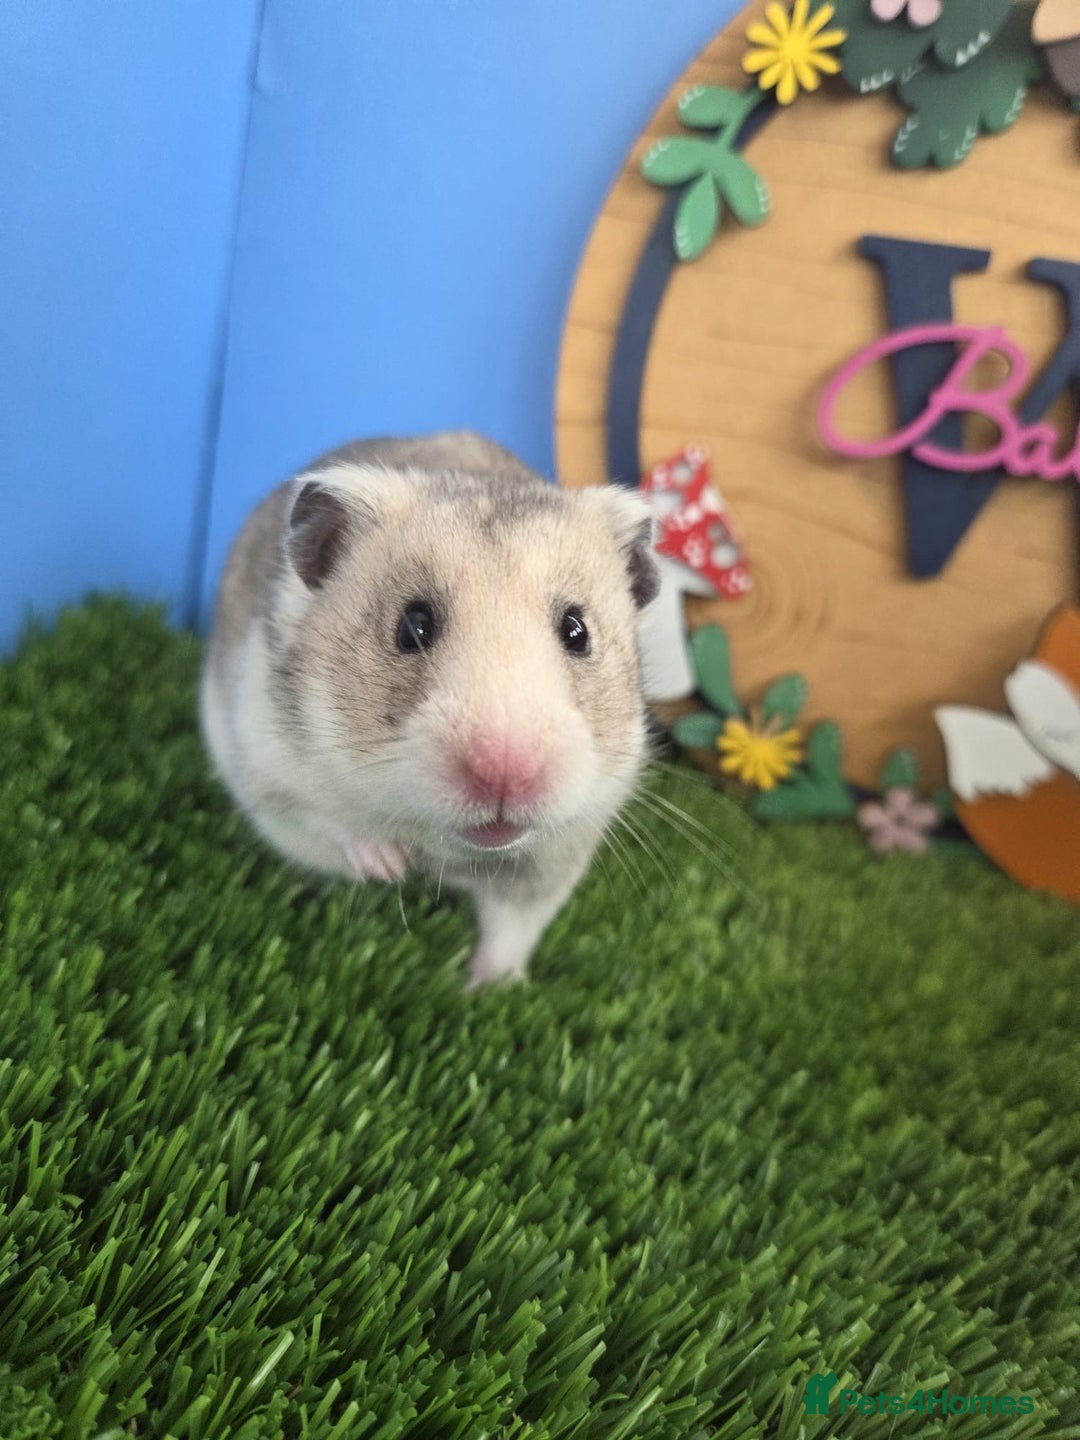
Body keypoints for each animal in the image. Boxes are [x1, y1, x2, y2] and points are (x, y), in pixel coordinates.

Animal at [200, 430, 659, 989]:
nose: (505, 775)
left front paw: (485, 990)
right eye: (412, 625)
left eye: (577, 632)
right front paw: (388, 866)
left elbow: (512, 930)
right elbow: (329, 821)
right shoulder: (271, 779)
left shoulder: (551, 863)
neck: (449, 848)